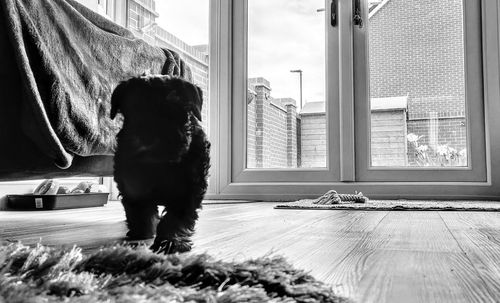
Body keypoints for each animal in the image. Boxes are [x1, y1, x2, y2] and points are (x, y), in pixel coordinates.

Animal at [110, 75, 210, 255]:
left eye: (176, 104)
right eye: (131, 106)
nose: (147, 138)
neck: (159, 164)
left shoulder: (189, 188)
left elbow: (176, 216)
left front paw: (171, 241)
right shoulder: (131, 181)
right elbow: (139, 209)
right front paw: (142, 231)